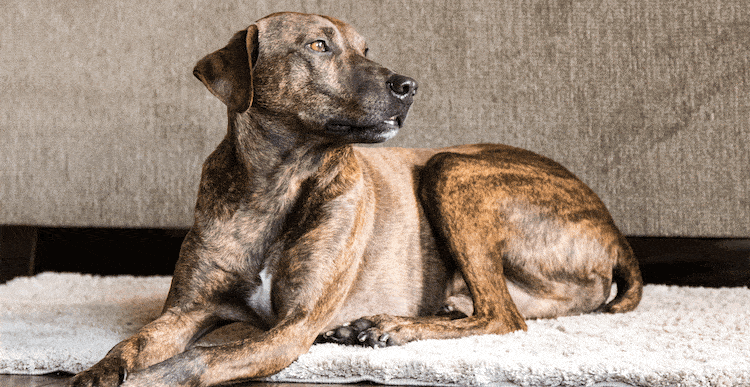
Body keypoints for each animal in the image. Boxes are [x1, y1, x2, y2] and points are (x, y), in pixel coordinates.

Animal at [70, 10, 644, 386]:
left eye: (366, 49)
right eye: (318, 46)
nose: (409, 85)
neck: (277, 184)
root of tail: (615, 235)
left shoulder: (293, 327)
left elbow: (198, 360)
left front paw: (150, 379)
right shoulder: (187, 311)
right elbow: (129, 345)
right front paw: (98, 373)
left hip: (452, 169)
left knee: (502, 316)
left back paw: (389, 326)